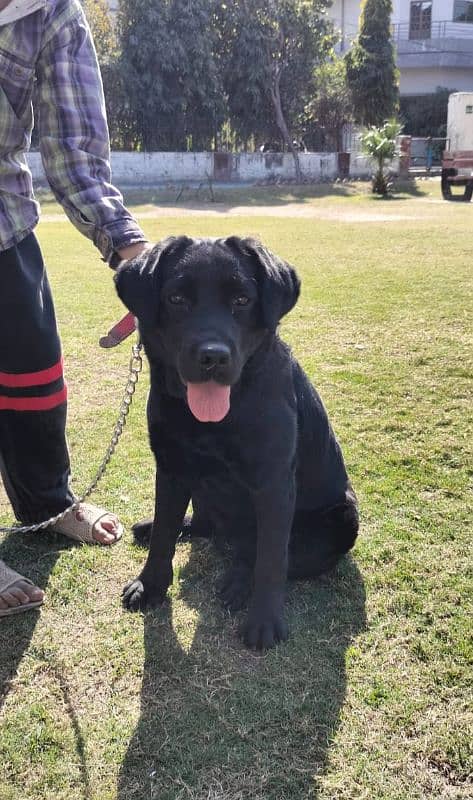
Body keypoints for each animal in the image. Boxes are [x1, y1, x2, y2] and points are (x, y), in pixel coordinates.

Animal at [115, 234, 358, 648]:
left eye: (242, 300)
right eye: (176, 299)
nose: (212, 357)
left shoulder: (273, 483)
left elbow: (272, 559)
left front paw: (264, 621)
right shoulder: (171, 467)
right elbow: (165, 532)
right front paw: (150, 585)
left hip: (342, 518)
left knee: (262, 553)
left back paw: (239, 582)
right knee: (204, 525)